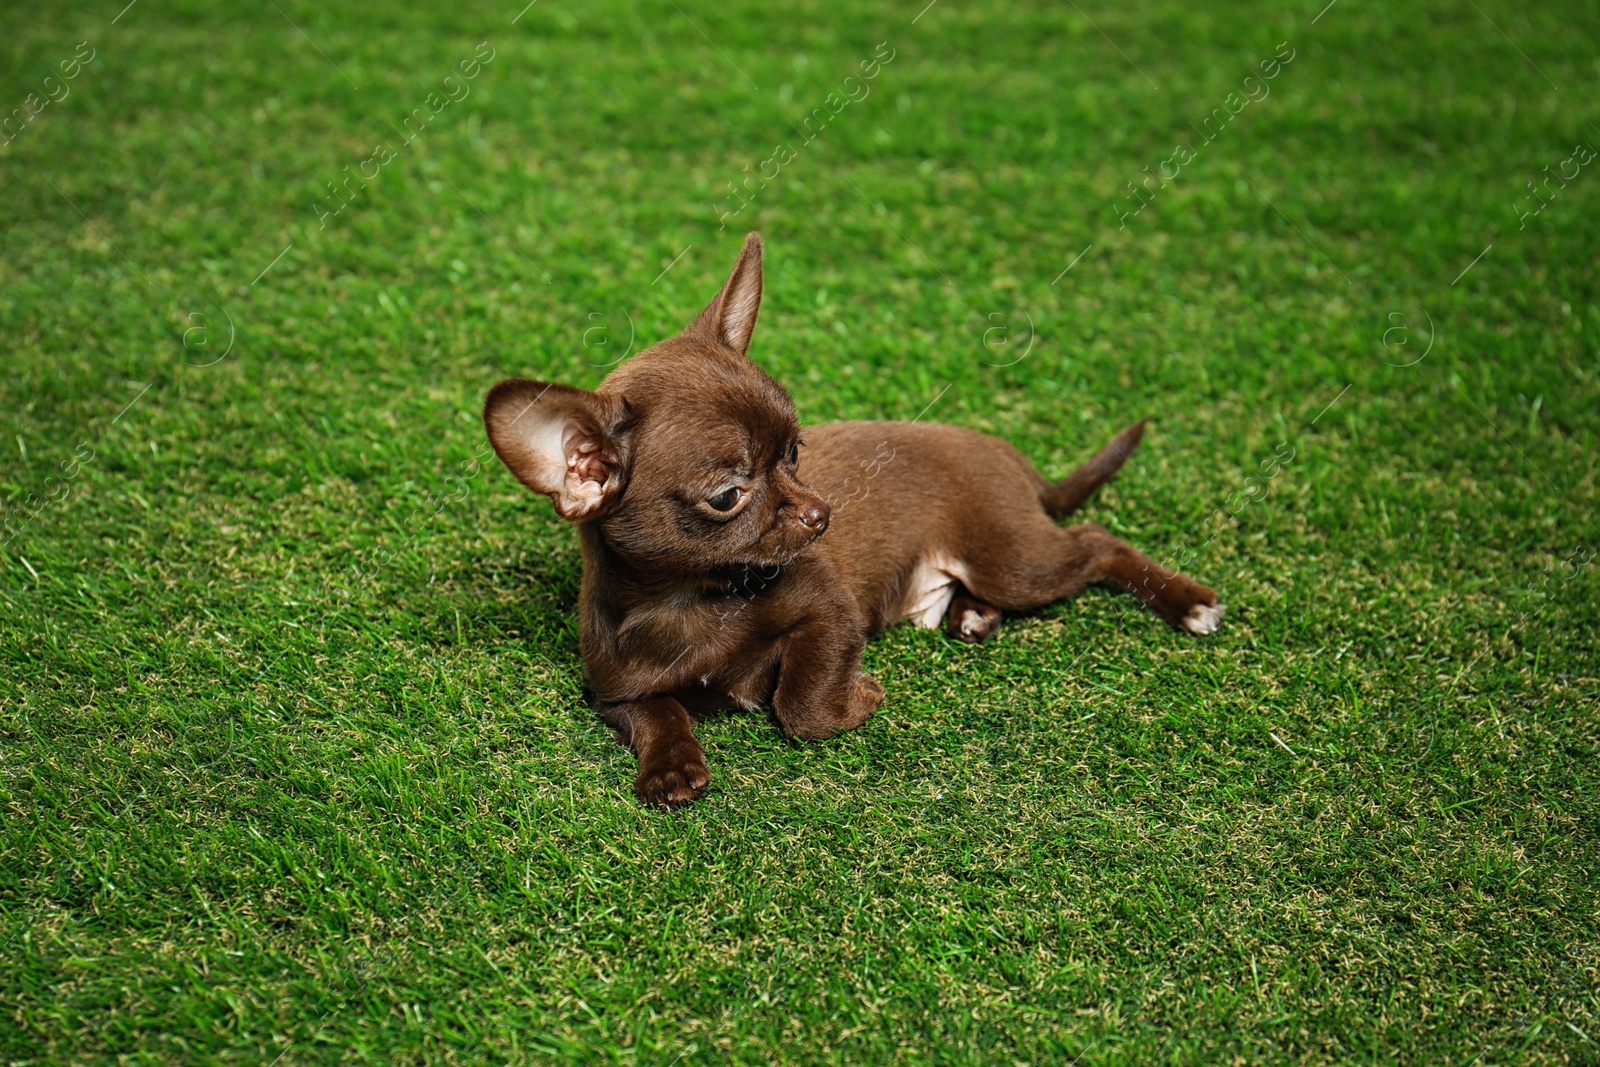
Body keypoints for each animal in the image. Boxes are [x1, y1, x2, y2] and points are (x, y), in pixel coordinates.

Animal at [480, 233, 1216, 809]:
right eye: (728, 495)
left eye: (795, 451)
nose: (821, 512)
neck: (693, 599)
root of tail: (1010, 457)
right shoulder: (613, 691)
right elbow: (656, 712)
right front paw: (670, 767)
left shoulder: (831, 614)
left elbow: (801, 705)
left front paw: (856, 698)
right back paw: (973, 617)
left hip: (1013, 559)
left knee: (1095, 543)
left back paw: (1187, 602)